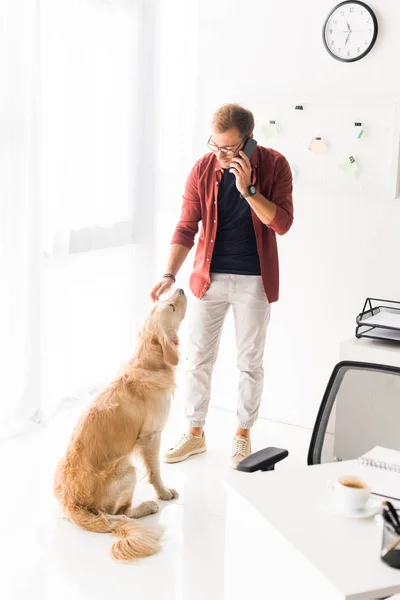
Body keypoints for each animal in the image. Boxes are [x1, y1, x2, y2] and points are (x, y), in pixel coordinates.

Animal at [53, 288, 189, 560]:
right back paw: (147, 506)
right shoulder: (151, 436)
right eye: (170, 305)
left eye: (164, 299)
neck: (150, 361)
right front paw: (163, 493)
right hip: (127, 470)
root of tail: (73, 503)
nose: (180, 288)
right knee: (121, 513)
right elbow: (156, 471)